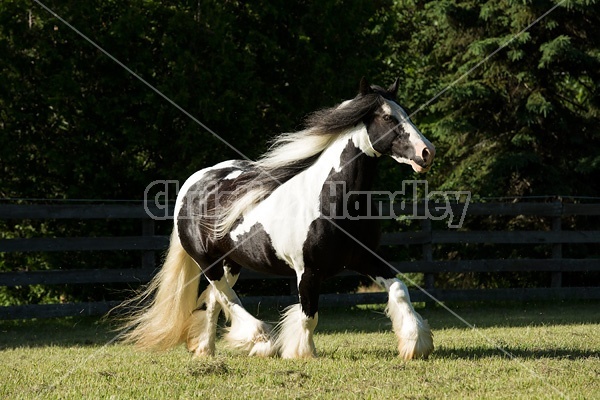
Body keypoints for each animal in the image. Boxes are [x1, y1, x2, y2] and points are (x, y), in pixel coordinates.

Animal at [123, 77, 436, 360]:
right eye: (387, 117)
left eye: (406, 114)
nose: (427, 152)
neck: (331, 200)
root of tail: (193, 182)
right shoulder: (307, 271)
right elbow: (308, 315)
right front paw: (301, 353)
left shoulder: (366, 258)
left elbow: (399, 289)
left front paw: (415, 344)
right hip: (206, 261)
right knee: (226, 297)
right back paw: (260, 340)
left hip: (231, 262)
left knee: (214, 300)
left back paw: (205, 350)